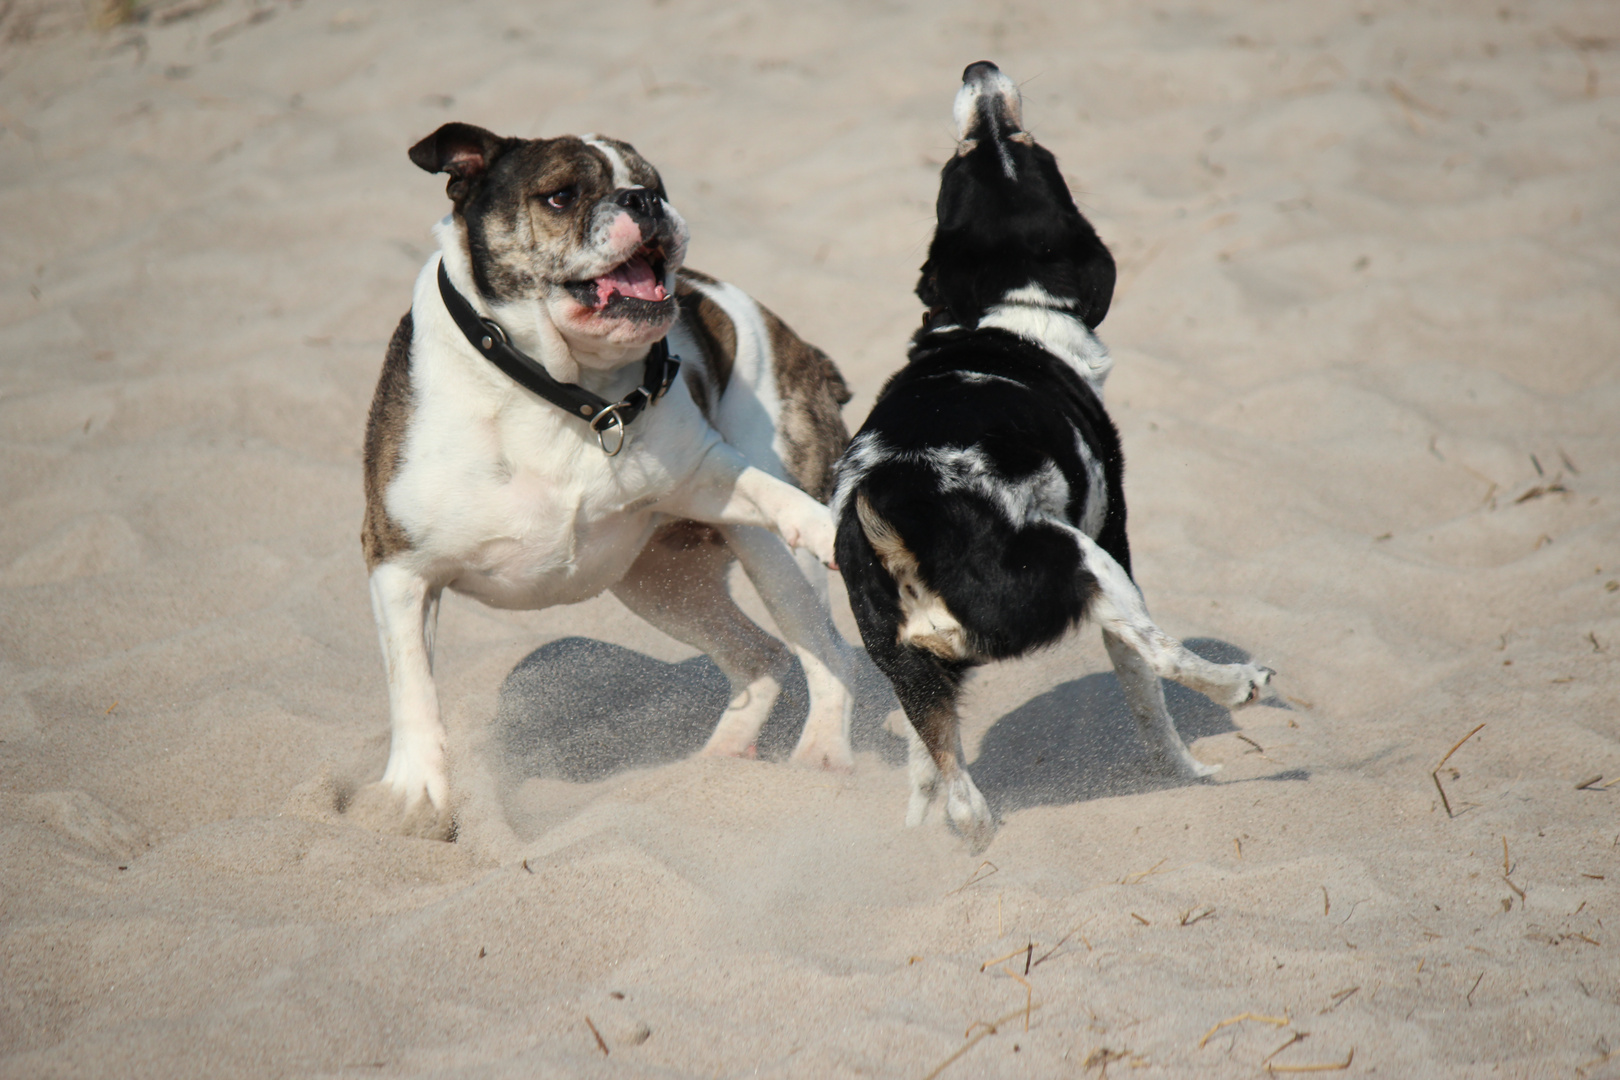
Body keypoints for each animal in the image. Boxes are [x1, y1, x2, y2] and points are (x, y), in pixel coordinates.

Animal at [359, 124, 855, 835]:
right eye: (562, 196)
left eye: (654, 184)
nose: (642, 201)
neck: (561, 388)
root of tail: (798, 342)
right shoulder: (400, 566)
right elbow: (414, 687)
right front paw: (416, 793)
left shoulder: (712, 472)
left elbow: (774, 494)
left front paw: (828, 526)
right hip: (660, 585)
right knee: (760, 657)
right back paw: (716, 765)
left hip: (769, 561)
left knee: (826, 651)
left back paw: (820, 757)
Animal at [835, 63, 1276, 848]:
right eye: (1025, 142)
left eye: (974, 154)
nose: (979, 70)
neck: (1009, 310)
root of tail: (902, 504)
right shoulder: (1116, 541)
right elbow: (1146, 696)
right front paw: (1187, 773)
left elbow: (923, 768)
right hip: (1082, 559)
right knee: (1162, 653)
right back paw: (1238, 684)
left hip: (910, 661)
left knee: (959, 793)